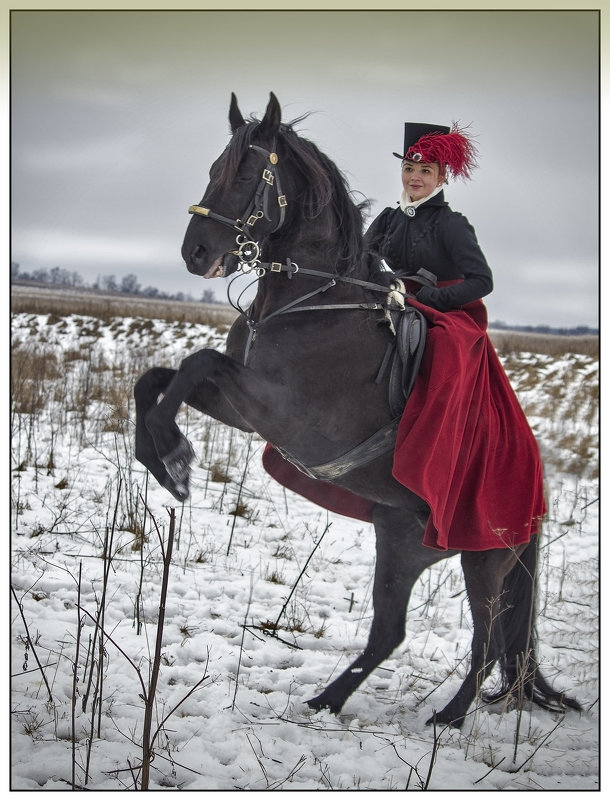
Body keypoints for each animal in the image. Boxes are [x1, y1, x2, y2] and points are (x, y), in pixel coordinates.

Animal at [135, 92, 576, 724]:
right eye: (215, 165)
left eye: (244, 173)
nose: (196, 253)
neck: (314, 300)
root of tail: (537, 485)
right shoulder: (244, 406)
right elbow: (158, 379)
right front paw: (158, 455)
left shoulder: (282, 411)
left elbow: (195, 363)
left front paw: (173, 458)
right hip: (403, 544)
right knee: (391, 632)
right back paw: (327, 699)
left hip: (486, 559)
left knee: (487, 640)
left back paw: (448, 716)